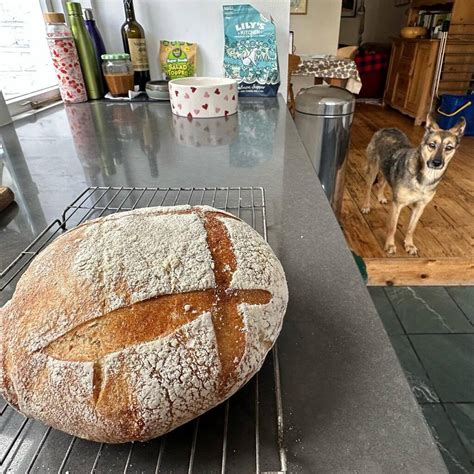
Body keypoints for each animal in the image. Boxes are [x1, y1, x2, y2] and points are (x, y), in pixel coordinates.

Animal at [362, 114, 464, 256]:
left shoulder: (420, 207)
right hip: (373, 169)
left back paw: (381, 197)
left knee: (382, 182)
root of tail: (388, 128)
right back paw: (366, 206)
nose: (436, 163)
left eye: (448, 148)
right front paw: (390, 245)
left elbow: (411, 228)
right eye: (432, 145)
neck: (424, 178)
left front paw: (409, 245)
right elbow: (392, 227)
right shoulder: (397, 205)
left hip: (386, 169)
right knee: (368, 187)